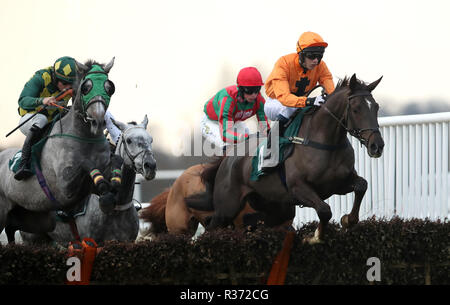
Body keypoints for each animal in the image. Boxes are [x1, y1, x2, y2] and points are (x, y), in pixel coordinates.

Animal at [19, 114, 156, 245]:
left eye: (151, 139)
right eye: (129, 140)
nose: (150, 165)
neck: (116, 209)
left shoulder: (127, 241)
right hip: (32, 238)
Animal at [202, 73, 384, 242]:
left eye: (376, 107)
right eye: (356, 109)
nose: (377, 145)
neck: (326, 143)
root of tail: (227, 159)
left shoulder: (337, 184)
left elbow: (362, 186)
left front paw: (348, 220)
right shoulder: (298, 187)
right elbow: (325, 210)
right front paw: (315, 237)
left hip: (271, 207)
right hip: (226, 208)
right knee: (210, 228)